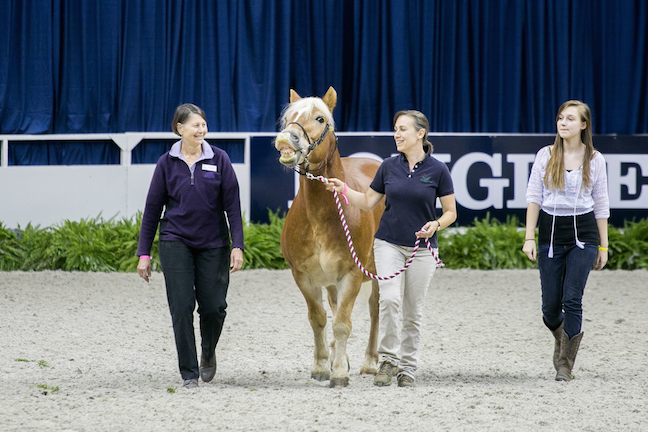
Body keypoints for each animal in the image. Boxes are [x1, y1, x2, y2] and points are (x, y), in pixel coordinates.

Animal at [273, 86, 385, 387]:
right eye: (288, 117)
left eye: (320, 118)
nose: (287, 138)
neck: (320, 216)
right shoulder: (303, 276)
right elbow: (319, 319)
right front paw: (324, 366)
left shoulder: (352, 274)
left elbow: (343, 323)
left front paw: (339, 374)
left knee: (375, 310)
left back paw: (370, 362)